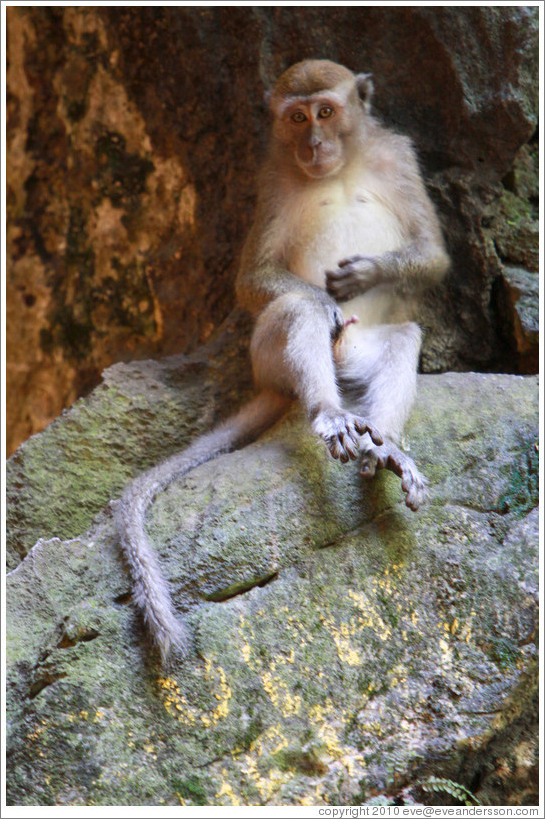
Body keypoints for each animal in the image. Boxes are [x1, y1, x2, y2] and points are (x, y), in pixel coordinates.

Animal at [113, 57, 446, 664]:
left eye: (327, 112)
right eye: (296, 118)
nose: (313, 143)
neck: (339, 171)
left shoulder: (399, 157)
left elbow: (431, 255)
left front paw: (367, 274)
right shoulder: (269, 180)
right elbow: (253, 280)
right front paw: (325, 299)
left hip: (356, 352)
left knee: (405, 337)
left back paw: (384, 447)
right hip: (265, 355)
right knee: (295, 311)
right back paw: (328, 411)